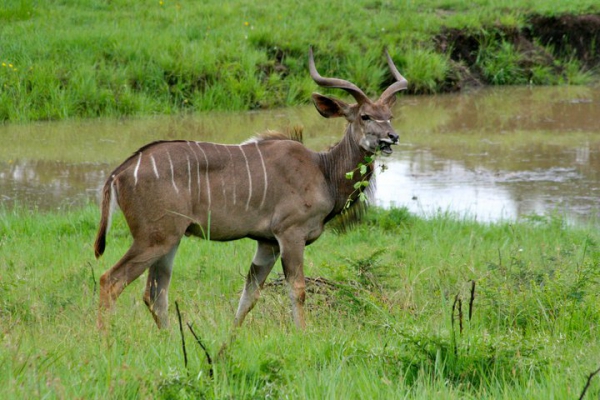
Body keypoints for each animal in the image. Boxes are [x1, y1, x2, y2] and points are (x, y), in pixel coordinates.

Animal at [95, 47, 408, 328]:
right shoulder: (290, 235)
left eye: (390, 115)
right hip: (154, 238)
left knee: (155, 294)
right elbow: (297, 291)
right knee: (111, 280)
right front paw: (302, 336)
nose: (392, 137)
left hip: (170, 240)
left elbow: (249, 296)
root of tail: (119, 173)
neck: (323, 170)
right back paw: (106, 343)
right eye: (365, 116)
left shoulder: (267, 243)